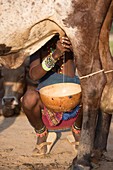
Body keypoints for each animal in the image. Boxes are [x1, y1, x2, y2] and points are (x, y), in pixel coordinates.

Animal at [0, 0, 113, 169]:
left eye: (21, 76)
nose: (8, 101)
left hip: (80, 26)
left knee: (94, 82)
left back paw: (81, 161)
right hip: (101, 32)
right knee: (108, 78)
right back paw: (96, 153)